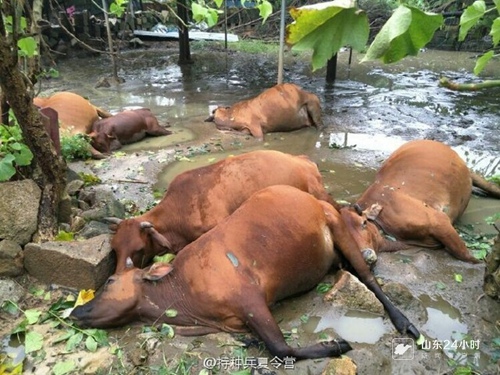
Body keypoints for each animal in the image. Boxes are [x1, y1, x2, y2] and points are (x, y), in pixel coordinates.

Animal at [72, 187, 420, 360]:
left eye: (110, 281)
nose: (76, 311)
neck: (182, 294)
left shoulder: (252, 301)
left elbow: (281, 348)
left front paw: (334, 346)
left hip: (338, 227)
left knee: (369, 278)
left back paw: (405, 322)